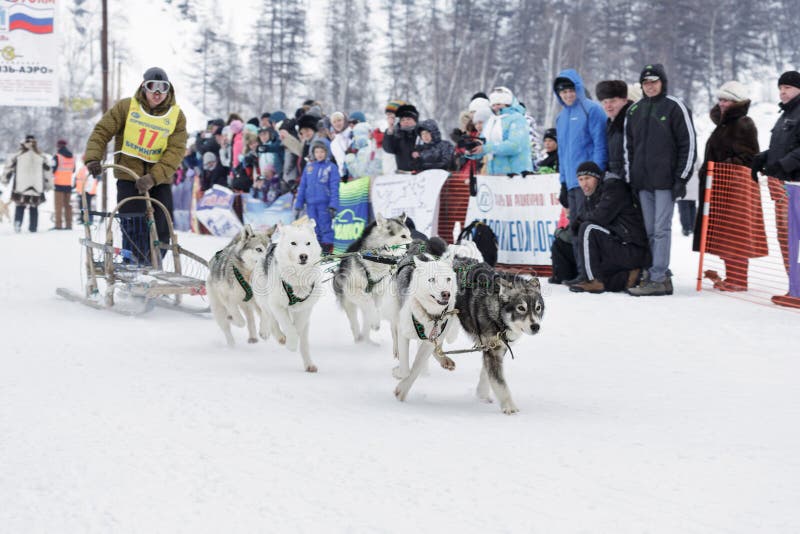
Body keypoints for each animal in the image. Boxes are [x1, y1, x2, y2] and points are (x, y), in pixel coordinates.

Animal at [252, 220, 324, 374]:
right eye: (293, 243)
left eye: (308, 243)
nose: (303, 256)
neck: (298, 278)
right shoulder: (277, 304)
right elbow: (286, 324)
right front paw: (290, 342)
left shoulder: (305, 308)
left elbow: (297, 327)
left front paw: (294, 338)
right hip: (266, 300)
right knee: (270, 318)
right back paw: (278, 336)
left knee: (303, 340)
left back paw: (309, 364)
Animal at [332, 214, 412, 344]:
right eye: (403, 236)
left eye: (410, 234)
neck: (377, 258)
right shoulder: (352, 291)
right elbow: (368, 302)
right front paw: (375, 321)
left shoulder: (379, 293)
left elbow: (376, 308)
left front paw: (375, 321)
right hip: (349, 302)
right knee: (354, 322)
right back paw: (359, 340)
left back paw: (367, 341)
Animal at [450, 258, 544, 416]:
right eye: (521, 308)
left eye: (538, 308)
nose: (535, 326)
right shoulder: (492, 351)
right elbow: (500, 382)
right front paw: (509, 406)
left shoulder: (497, 347)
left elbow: (487, 372)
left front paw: (482, 393)